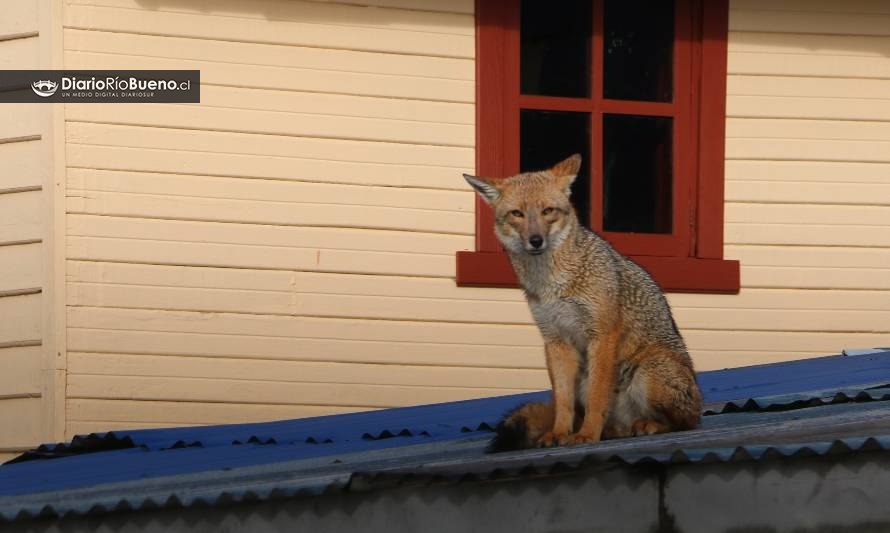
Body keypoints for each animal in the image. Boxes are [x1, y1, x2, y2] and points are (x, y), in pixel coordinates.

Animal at [464, 153, 700, 448]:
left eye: (548, 211)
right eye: (517, 214)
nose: (535, 240)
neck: (553, 283)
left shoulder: (602, 334)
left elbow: (597, 398)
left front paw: (587, 435)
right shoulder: (555, 340)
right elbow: (563, 402)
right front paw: (559, 434)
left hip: (650, 370)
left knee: (688, 422)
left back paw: (648, 424)